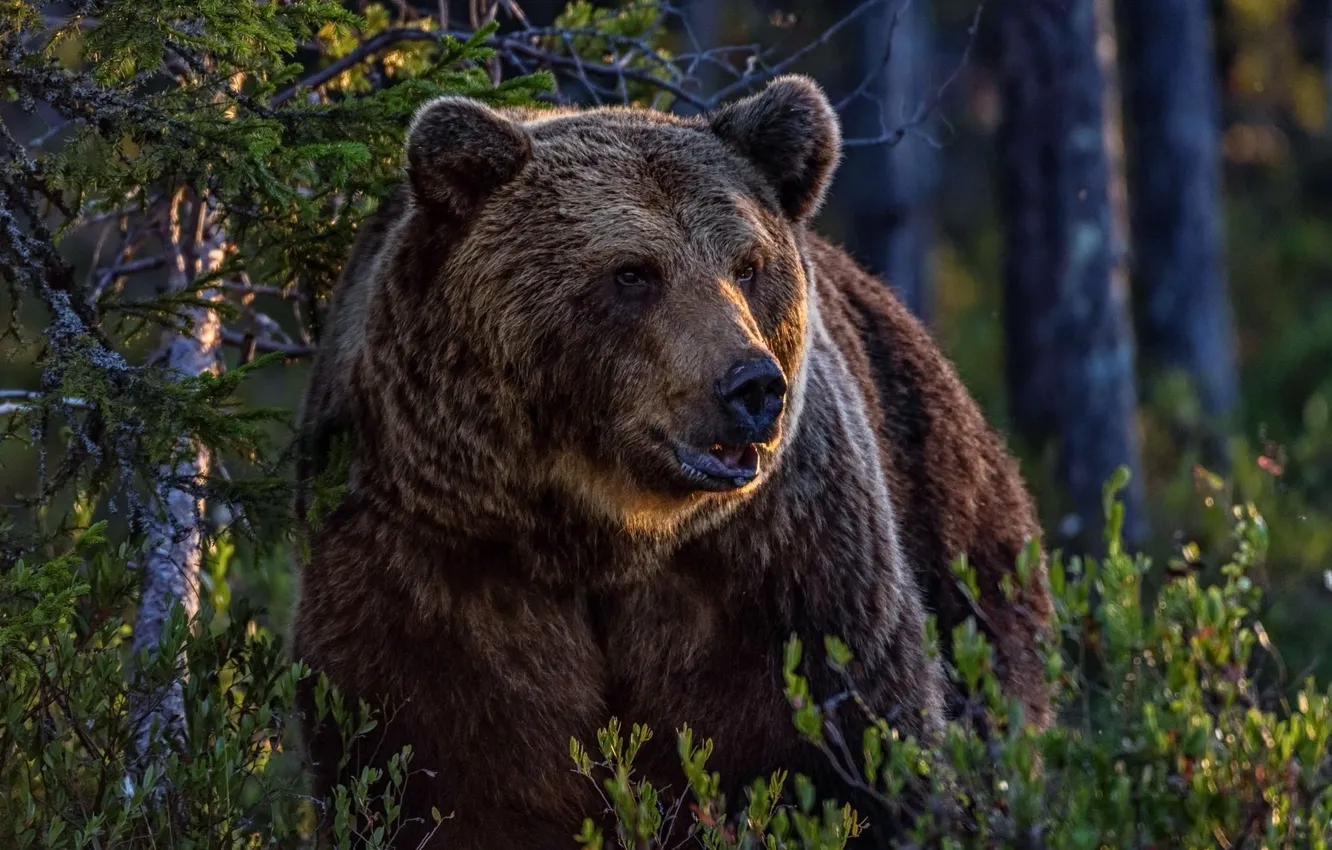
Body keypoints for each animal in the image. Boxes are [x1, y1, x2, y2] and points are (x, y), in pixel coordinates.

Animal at [292, 75, 1052, 849]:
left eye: (749, 266)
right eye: (632, 273)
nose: (753, 386)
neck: (602, 536)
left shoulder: (785, 580)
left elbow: (851, 760)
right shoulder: (430, 564)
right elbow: (437, 776)